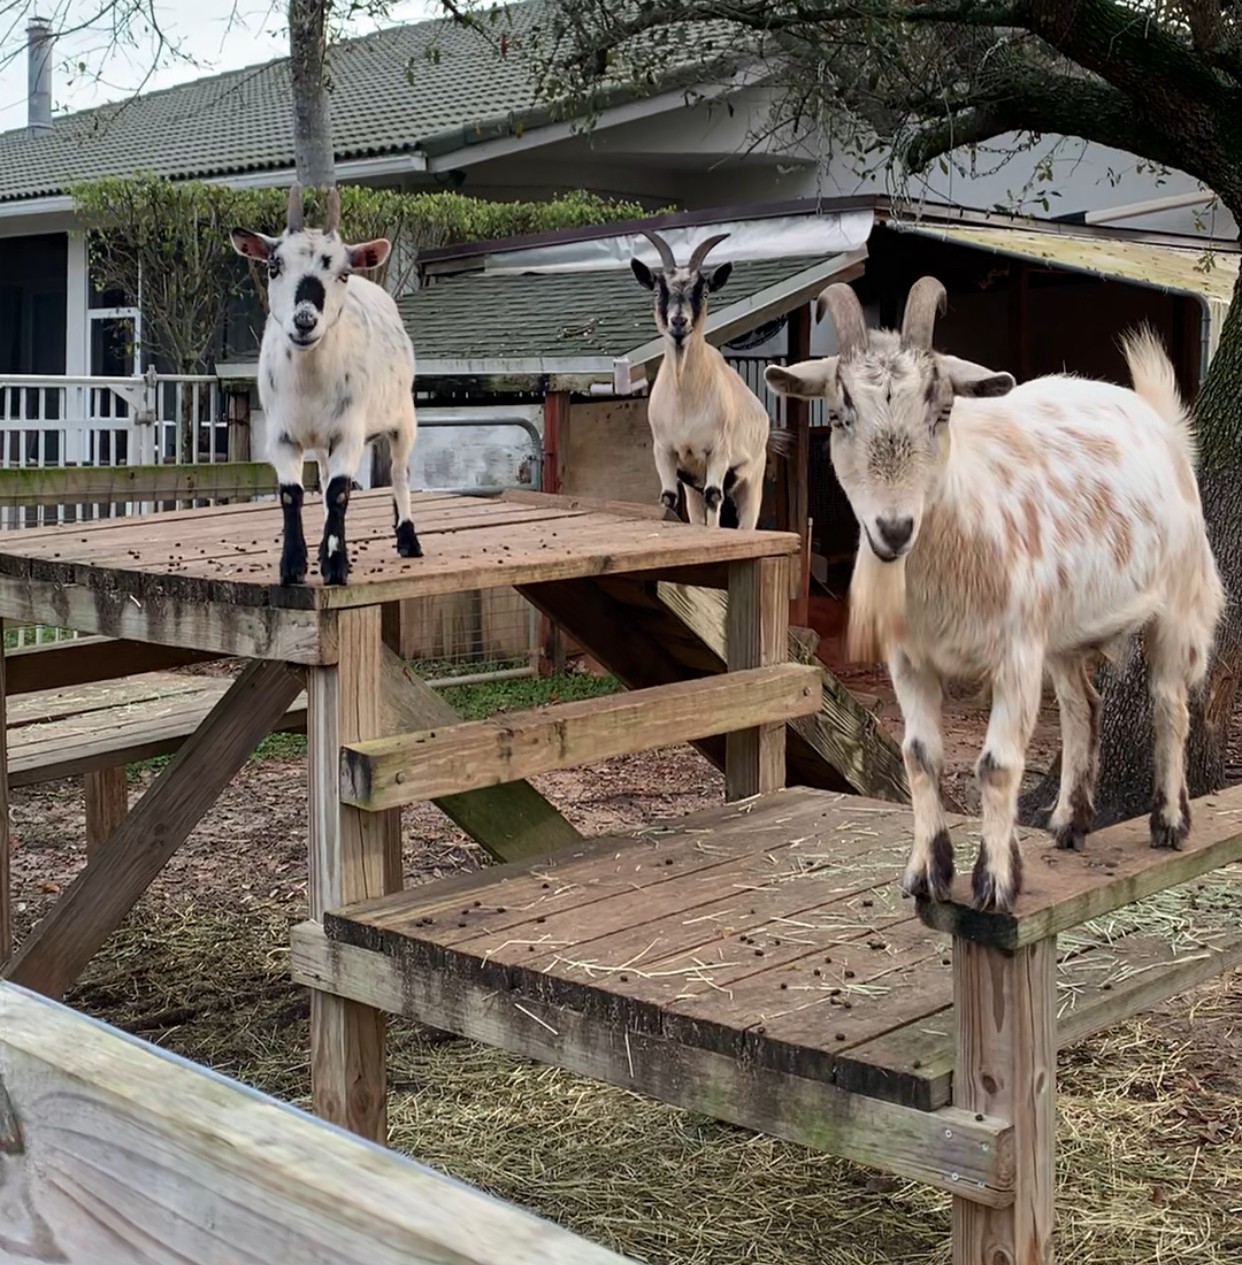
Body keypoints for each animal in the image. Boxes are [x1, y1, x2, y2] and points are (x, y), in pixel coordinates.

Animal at [232, 180, 422, 584]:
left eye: (342, 273)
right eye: (274, 266)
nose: (305, 321)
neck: (309, 384)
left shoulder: (349, 432)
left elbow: (339, 493)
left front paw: (335, 566)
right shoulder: (281, 435)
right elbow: (292, 493)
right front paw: (294, 565)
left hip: (403, 417)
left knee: (399, 473)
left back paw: (408, 539)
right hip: (320, 440)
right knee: (320, 476)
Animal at [632, 231, 799, 528]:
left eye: (704, 292)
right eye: (657, 291)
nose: (679, 322)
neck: (685, 399)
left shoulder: (718, 452)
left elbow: (714, 496)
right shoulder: (665, 451)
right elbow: (667, 498)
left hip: (752, 481)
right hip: (693, 487)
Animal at [768, 274, 1224, 910]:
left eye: (943, 409)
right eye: (838, 415)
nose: (893, 529)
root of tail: (1161, 423)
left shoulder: (1016, 655)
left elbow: (998, 765)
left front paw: (996, 881)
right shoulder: (909, 660)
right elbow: (918, 755)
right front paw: (926, 873)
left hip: (1176, 602)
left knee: (1169, 703)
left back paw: (1169, 822)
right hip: (1062, 632)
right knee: (1083, 704)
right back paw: (1069, 822)